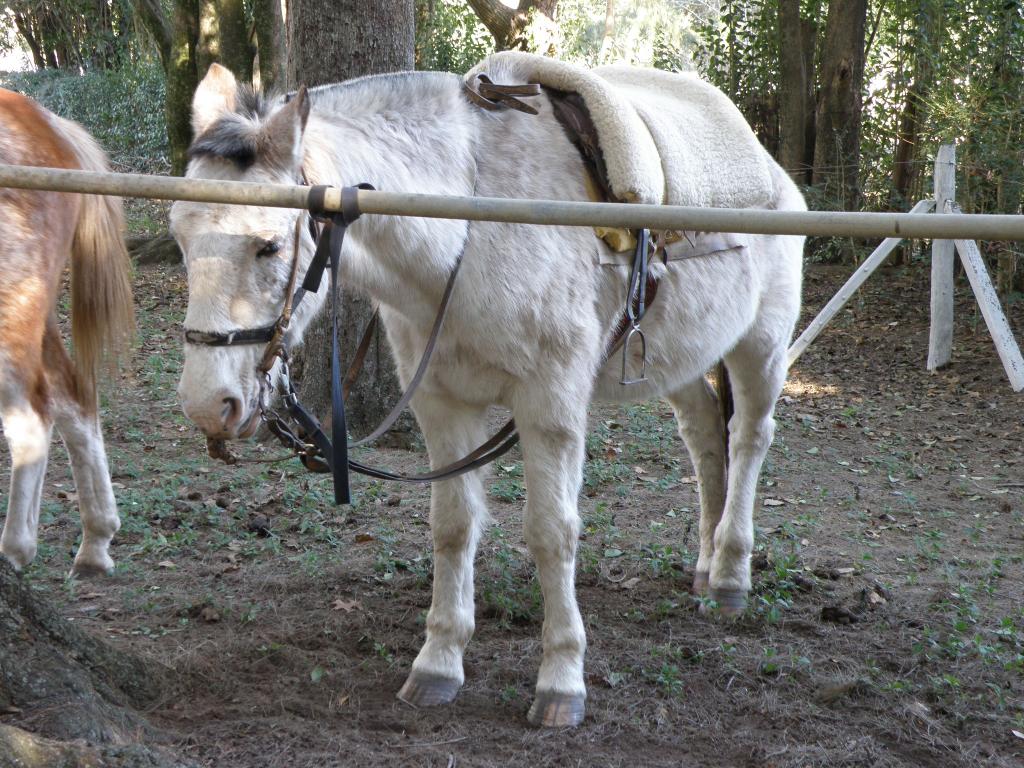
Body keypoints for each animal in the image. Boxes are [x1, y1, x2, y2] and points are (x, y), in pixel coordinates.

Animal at [0, 90, 134, 577]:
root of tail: (48, 124)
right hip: (33, 311)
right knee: (72, 398)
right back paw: (96, 540)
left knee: (32, 419)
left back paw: (15, 548)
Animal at [172, 61, 802, 729]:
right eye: (179, 239)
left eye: (267, 244)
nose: (208, 404)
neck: (469, 231)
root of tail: (775, 172)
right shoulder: (443, 405)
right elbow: (453, 527)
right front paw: (439, 664)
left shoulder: (550, 403)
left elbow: (552, 532)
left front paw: (561, 680)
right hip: (679, 361)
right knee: (706, 437)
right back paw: (707, 566)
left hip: (759, 347)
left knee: (749, 438)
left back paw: (730, 574)